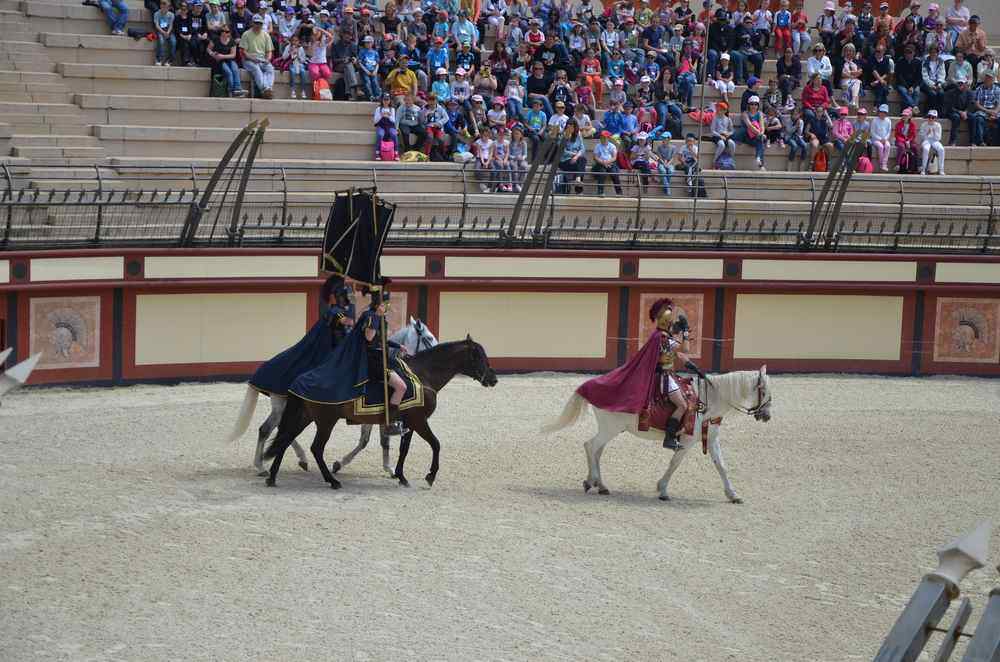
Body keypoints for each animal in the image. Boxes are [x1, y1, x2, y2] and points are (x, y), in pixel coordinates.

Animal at [225, 317, 438, 476]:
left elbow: (376, 440)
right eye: (428, 337)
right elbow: (373, 440)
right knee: (274, 429)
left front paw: (388, 467)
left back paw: (279, 462)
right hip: (287, 406)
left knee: (271, 429)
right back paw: (270, 463)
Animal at [263, 336, 497, 490]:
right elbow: (436, 444)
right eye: (478, 356)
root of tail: (301, 378)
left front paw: (401, 475)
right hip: (326, 421)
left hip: (306, 417)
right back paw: (332, 480)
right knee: (316, 448)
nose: (493, 379)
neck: (424, 375)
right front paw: (430, 476)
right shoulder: (420, 421)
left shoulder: (410, 423)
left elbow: (404, 448)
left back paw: (272, 477)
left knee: (285, 439)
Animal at [542, 365, 772, 503]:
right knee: (591, 446)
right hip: (610, 429)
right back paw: (597, 483)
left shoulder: (712, 439)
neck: (710, 401)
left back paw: (596, 483)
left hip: (610, 430)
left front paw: (733, 494)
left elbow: (721, 466)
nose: (767, 416)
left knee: (596, 450)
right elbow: (675, 463)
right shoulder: (687, 441)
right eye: (765, 392)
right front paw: (662, 490)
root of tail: (591, 385)